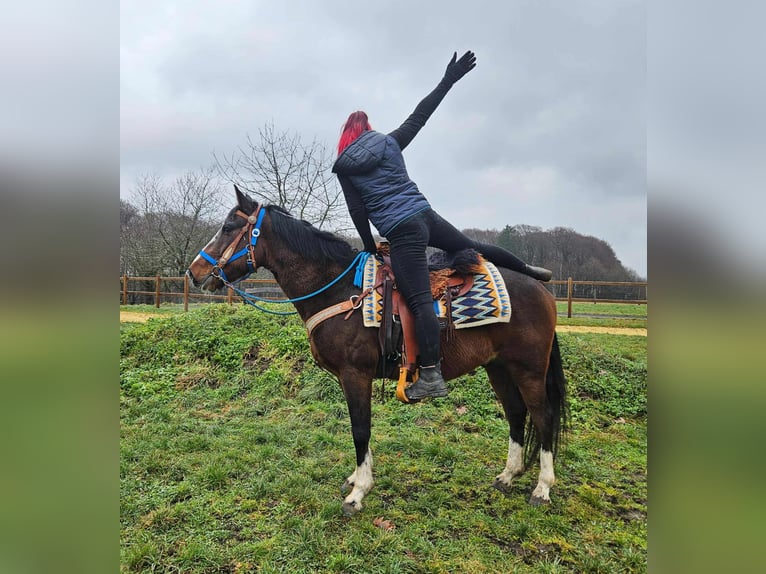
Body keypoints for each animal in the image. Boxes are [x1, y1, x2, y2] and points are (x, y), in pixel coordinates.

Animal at [186, 185, 568, 515]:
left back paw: (543, 488)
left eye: (228, 227)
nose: (195, 272)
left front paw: (358, 493)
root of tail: (541, 289)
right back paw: (508, 476)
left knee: (543, 416)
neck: (339, 289)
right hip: (498, 367)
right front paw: (357, 479)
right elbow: (360, 428)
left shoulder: (356, 374)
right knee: (516, 413)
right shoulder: (350, 378)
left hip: (529, 369)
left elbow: (360, 429)